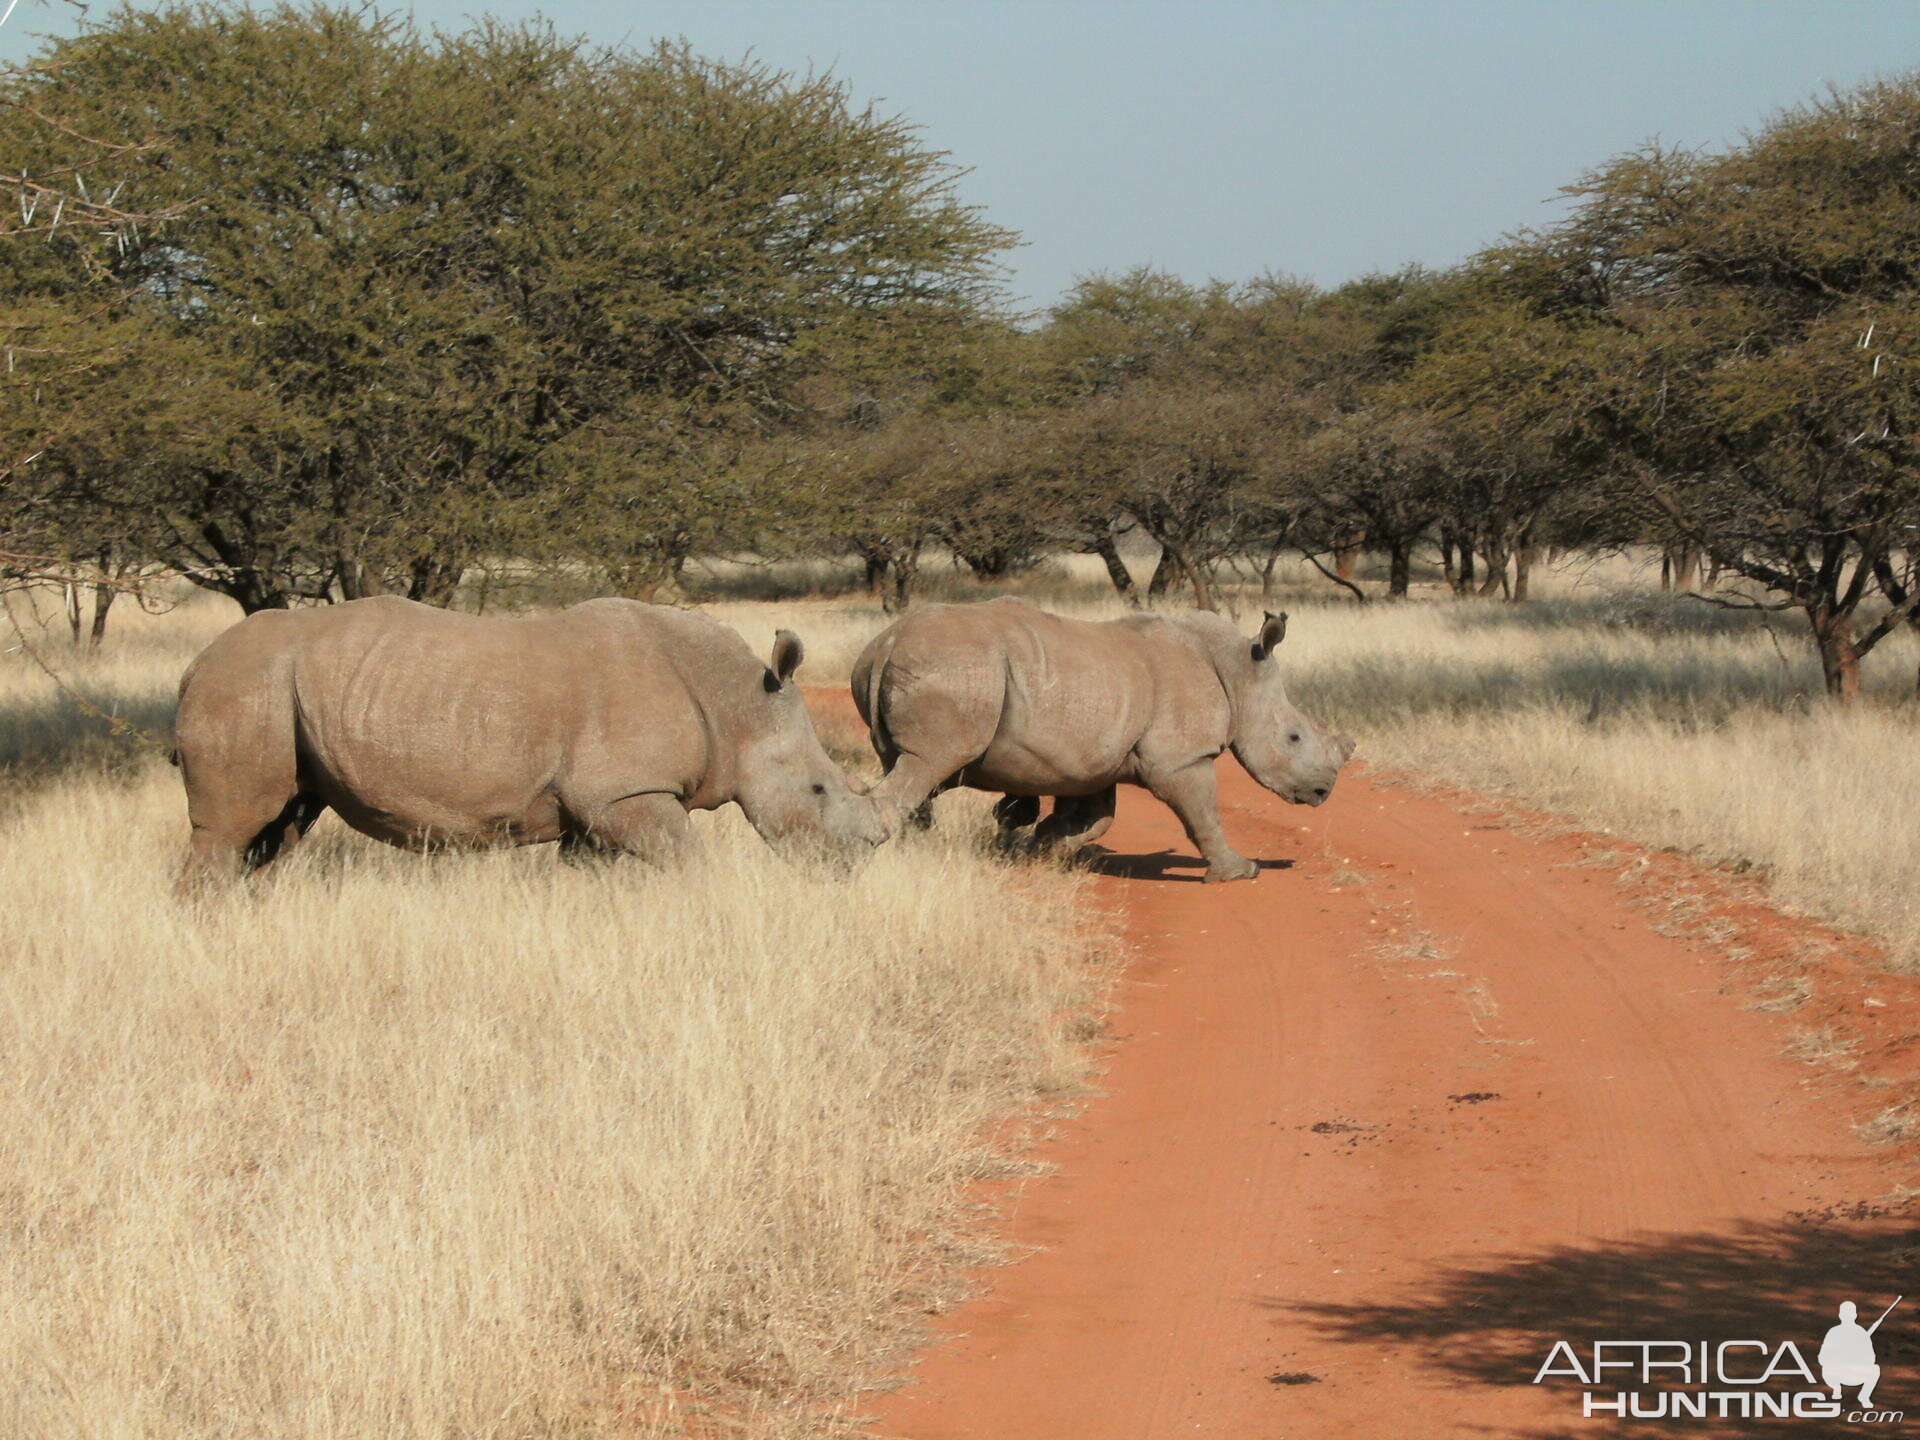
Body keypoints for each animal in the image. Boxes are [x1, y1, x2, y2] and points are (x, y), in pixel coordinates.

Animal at [176, 591, 887, 887]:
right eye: (818, 789)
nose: (865, 855)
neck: (737, 704)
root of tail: (194, 664)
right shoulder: (626, 795)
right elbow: (689, 862)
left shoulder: (596, 808)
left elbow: (585, 879)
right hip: (246, 684)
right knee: (233, 829)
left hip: (277, 692)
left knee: (282, 829)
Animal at [848, 595, 1359, 879]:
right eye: (1294, 737)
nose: (1323, 792)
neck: (1238, 673)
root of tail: (888, 642)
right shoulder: (1182, 758)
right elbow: (1203, 815)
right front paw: (1241, 873)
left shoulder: (1094, 758)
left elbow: (1097, 819)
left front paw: (1043, 850)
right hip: (958, 666)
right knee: (927, 764)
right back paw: (881, 858)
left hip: (937, 665)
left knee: (911, 768)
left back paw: (914, 853)